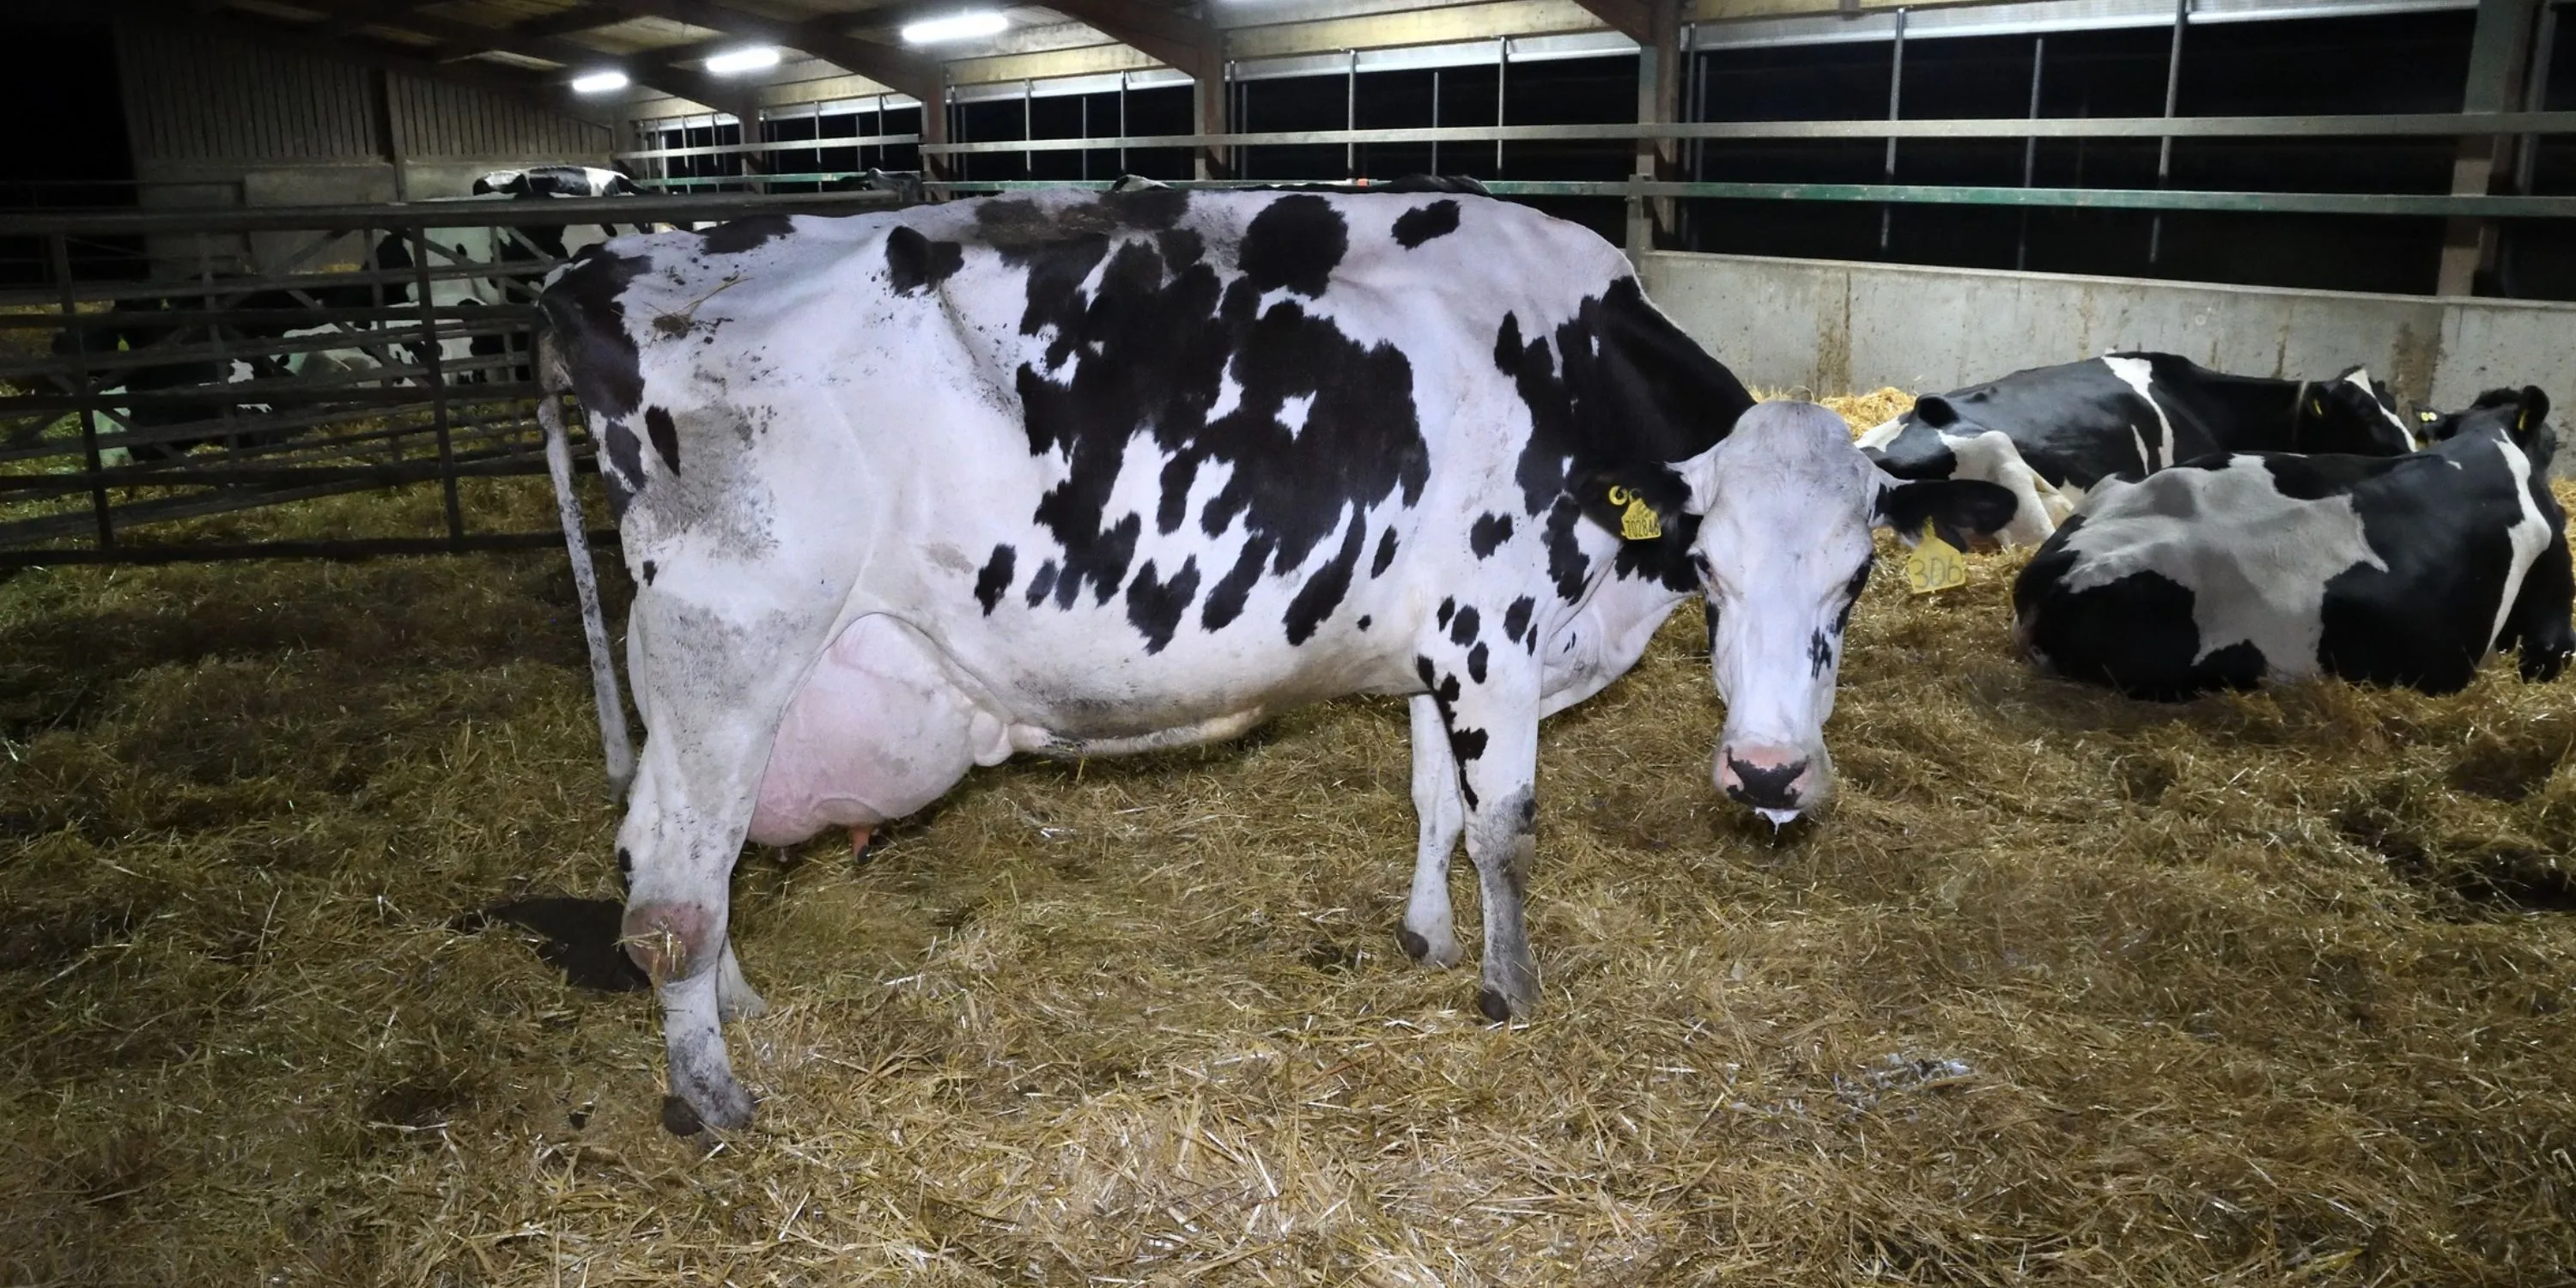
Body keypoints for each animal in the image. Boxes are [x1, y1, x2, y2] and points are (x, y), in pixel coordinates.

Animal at [531, 188, 2017, 1130]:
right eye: (1711, 569)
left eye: (1858, 574)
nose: (1768, 775)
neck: (1563, 380)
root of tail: (622, 262)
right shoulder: (1493, 632)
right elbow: (1509, 825)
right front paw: (1512, 988)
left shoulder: (1439, 646)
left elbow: (1435, 805)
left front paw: (1424, 939)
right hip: (731, 645)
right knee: (674, 887)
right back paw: (711, 1096)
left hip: (704, 678)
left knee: (670, 850)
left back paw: (742, 1013)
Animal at [2011, 385, 2571, 700]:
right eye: (2555, 442)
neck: (2489, 440)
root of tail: (2063, 574)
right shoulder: (2553, 590)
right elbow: (2551, 648)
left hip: (2118, 484)